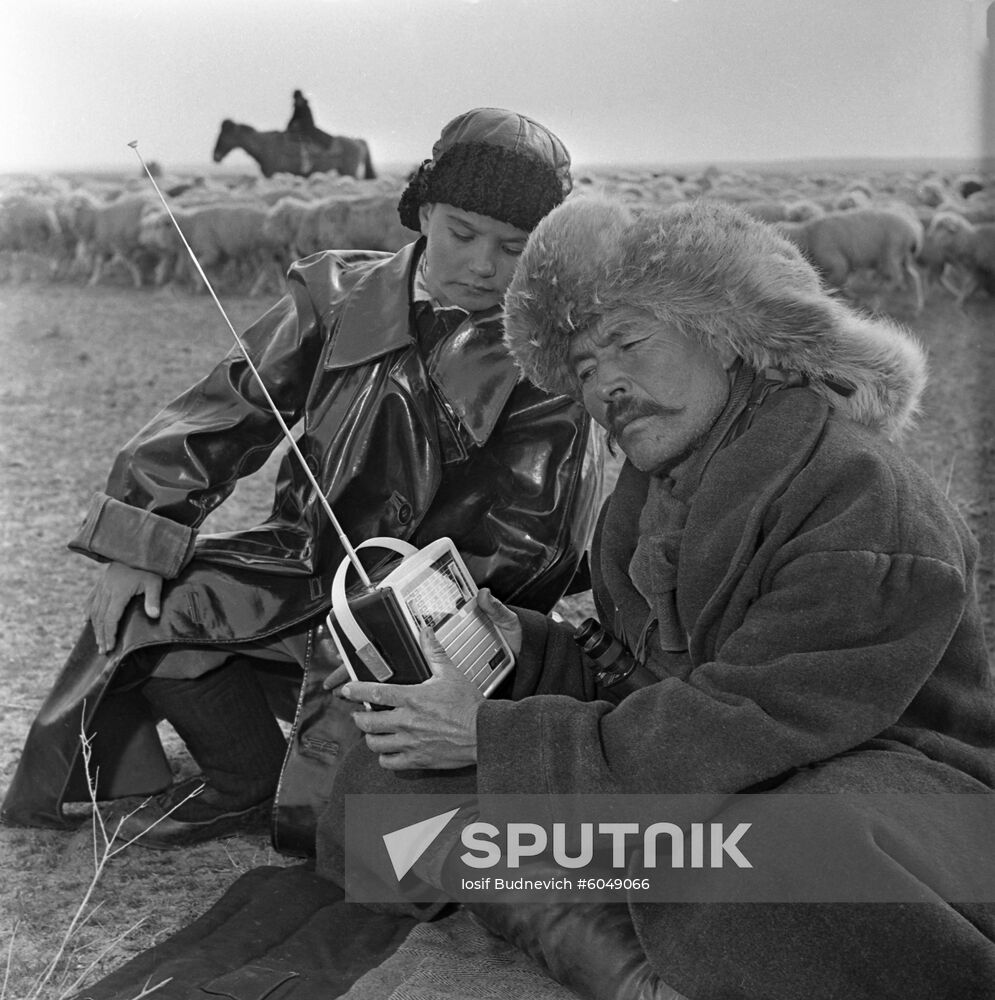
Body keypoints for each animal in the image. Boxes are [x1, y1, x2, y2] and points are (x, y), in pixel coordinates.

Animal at [213, 119, 378, 180]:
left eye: (225, 135)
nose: (216, 156)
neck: (263, 144)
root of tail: (358, 141)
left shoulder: (270, 172)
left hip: (349, 170)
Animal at [780, 211, 924, 316]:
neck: (808, 234)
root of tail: (913, 233)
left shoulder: (836, 261)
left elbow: (836, 281)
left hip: (891, 251)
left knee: (893, 278)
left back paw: (878, 302)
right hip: (903, 256)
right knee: (912, 276)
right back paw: (915, 305)